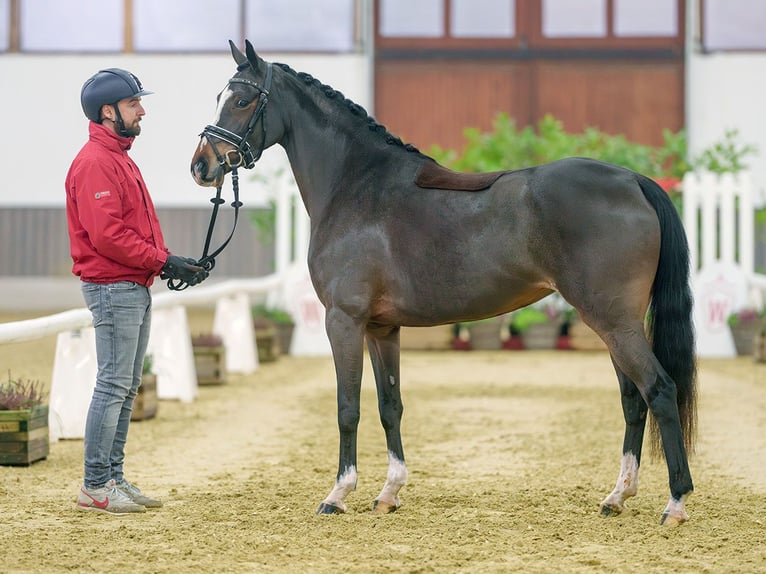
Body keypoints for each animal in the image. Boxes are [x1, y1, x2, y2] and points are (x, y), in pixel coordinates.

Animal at [189, 39, 700, 528]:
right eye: (218, 97)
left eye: (241, 99)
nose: (201, 166)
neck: (355, 187)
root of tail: (633, 180)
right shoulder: (381, 328)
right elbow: (390, 404)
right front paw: (389, 493)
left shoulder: (344, 320)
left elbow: (347, 407)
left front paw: (337, 495)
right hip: (613, 324)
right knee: (633, 399)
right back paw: (617, 496)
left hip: (613, 321)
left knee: (659, 390)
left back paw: (675, 503)